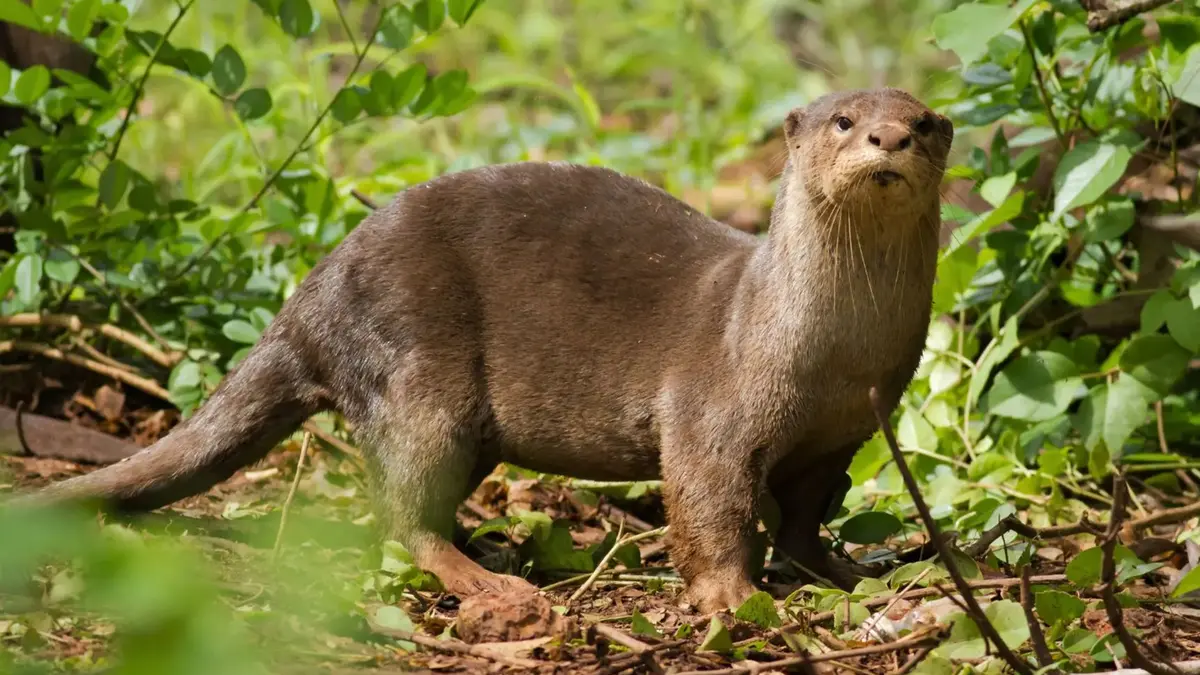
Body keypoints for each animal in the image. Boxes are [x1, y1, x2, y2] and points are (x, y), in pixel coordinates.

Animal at [14, 88, 953, 613]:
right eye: (843, 121)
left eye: (923, 122)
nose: (889, 140)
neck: (829, 352)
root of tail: (311, 295)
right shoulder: (710, 410)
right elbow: (709, 500)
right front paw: (732, 597)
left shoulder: (846, 429)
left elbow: (804, 512)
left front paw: (845, 571)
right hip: (416, 369)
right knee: (398, 511)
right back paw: (488, 581)